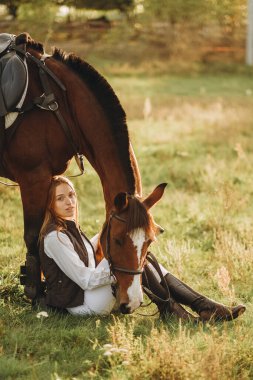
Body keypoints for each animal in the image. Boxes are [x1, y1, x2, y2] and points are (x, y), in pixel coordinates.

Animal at [1, 32, 166, 312]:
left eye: (149, 241)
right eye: (118, 240)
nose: (130, 302)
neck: (59, 104)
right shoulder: (33, 178)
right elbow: (33, 236)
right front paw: (35, 292)